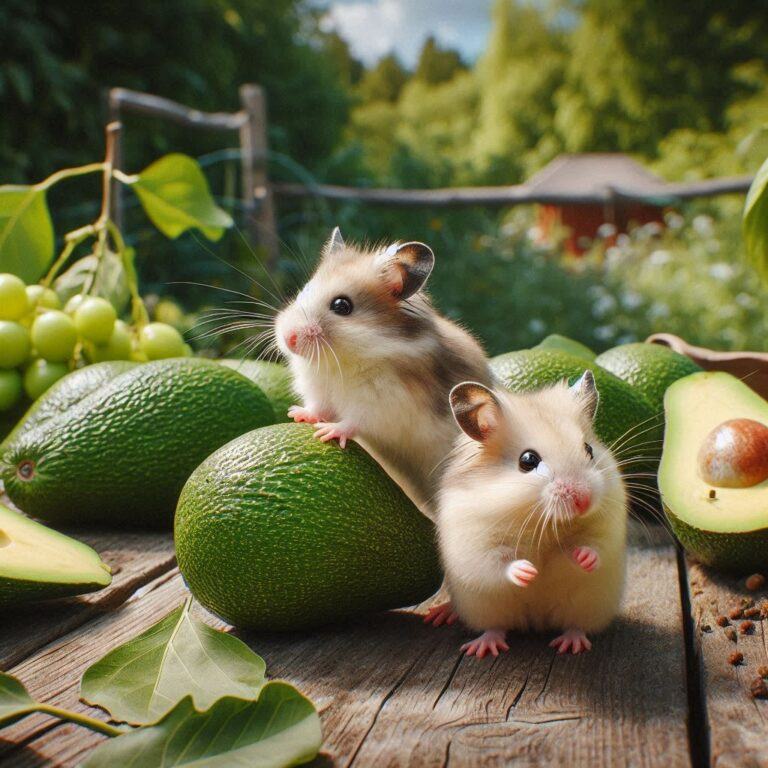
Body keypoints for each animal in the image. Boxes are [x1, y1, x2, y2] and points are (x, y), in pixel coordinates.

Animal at [276, 230, 492, 516]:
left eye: (342, 306)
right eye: (305, 290)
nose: (288, 339)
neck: (341, 361)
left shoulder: (381, 403)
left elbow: (355, 420)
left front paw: (327, 432)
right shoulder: (319, 390)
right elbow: (317, 407)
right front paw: (297, 415)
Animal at [428, 372, 628, 656]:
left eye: (589, 450)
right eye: (528, 460)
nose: (584, 500)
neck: (538, 520)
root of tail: (536, 622)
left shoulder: (607, 527)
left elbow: (595, 545)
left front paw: (581, 557)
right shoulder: (476, 544)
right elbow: (498, 563)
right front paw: (529, 572)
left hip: (585, 606)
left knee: (575, 626)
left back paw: (571, 645)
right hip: (487, 609)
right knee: (495, 627)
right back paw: (482, 646)